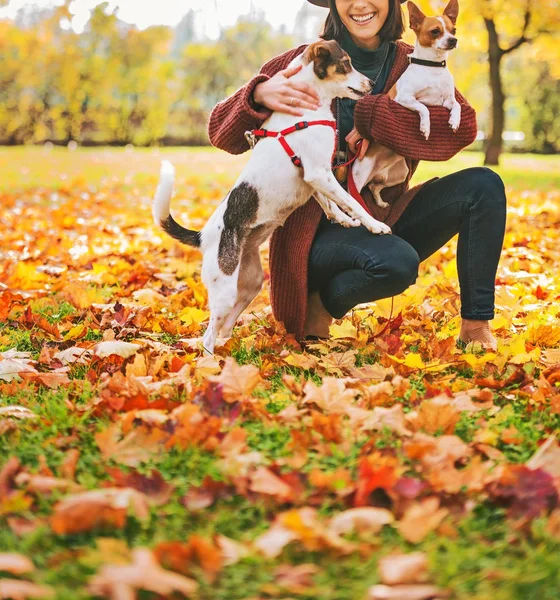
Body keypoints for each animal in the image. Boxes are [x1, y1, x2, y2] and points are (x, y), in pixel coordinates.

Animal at [152, 39, 390, 354]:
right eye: (346, 63)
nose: (372, 83)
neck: (309, 109)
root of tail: (203, 237)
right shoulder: (318, 172)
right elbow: (350, 201)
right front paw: (373, 224)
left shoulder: (313, 178)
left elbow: (329, 201)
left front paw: (342, 220)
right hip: (224, 290)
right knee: (209, 335)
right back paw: (210, 360)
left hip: (251, 282)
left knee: (226, 327)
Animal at [354, 0, 460, 209]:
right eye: (435, 31)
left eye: (453, 30)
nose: (453, 40)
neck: (432, 67)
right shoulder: (404, 99)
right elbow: (424, 108)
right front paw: (426, 127)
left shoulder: (447, 101)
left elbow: (457, 106)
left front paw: (454, 121)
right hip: (359, 175)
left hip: (398, 174)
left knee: (374, 186)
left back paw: (380, 202)